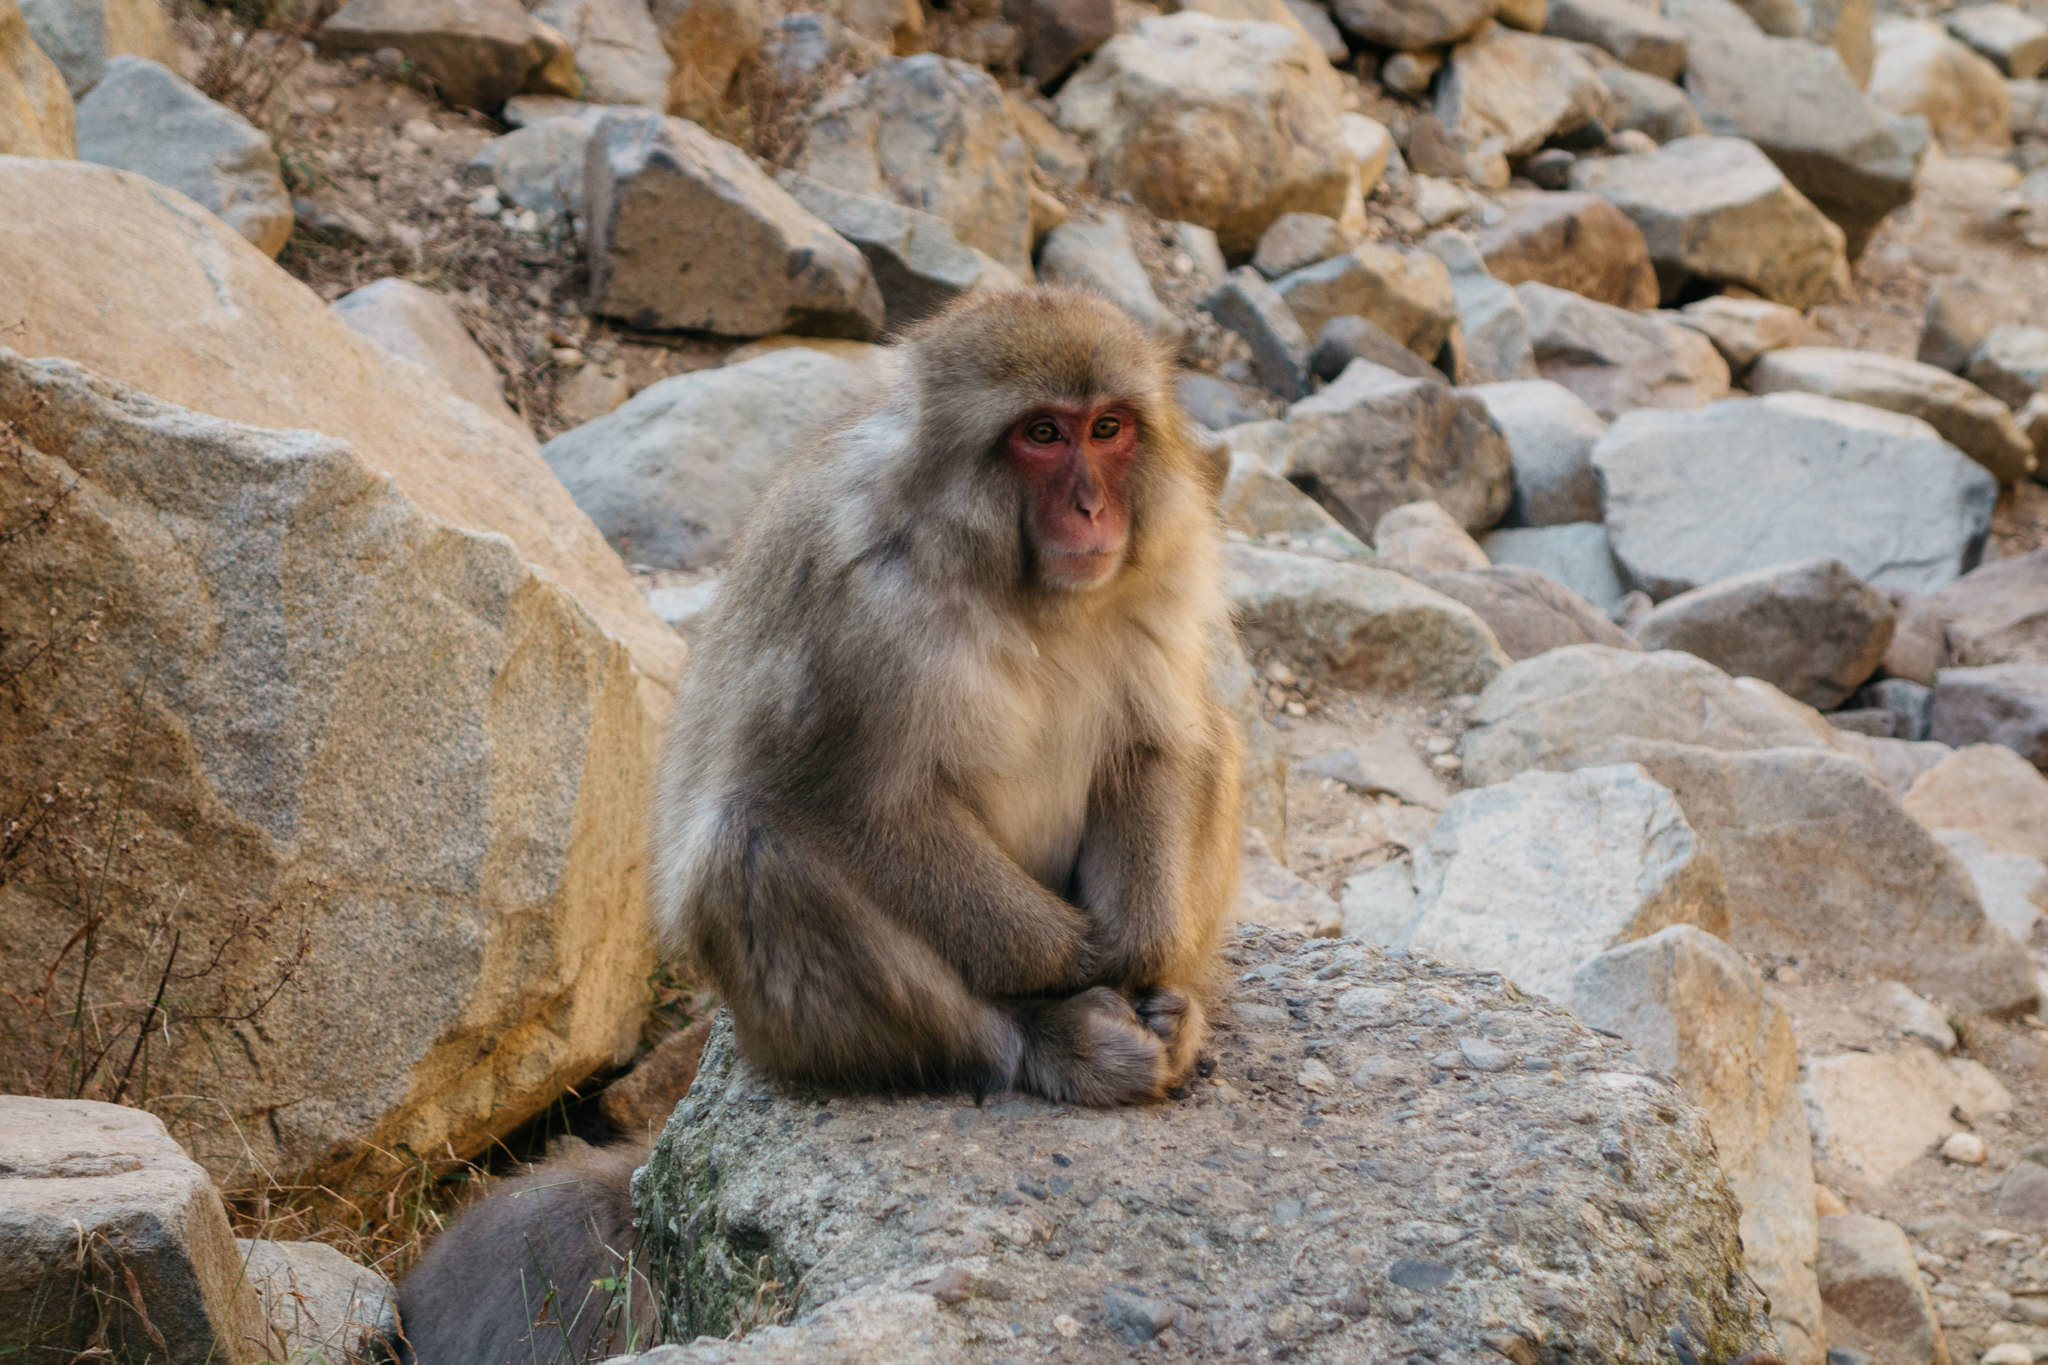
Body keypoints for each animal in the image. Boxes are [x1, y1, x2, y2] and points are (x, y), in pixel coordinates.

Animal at [393, 286, 1236, 1358]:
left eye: (1108, 428)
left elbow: (1159, 747)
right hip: (778, 1020)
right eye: (1041, 434)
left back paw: (1170, 1005)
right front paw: (1079, 965)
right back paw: (1039, 1042)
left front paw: (1141, 951)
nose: (1094, 507)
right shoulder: (862, 600)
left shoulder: (1163, 567)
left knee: (1215, 738)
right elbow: (852, 804)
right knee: (753, 846)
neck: (1020, 584)